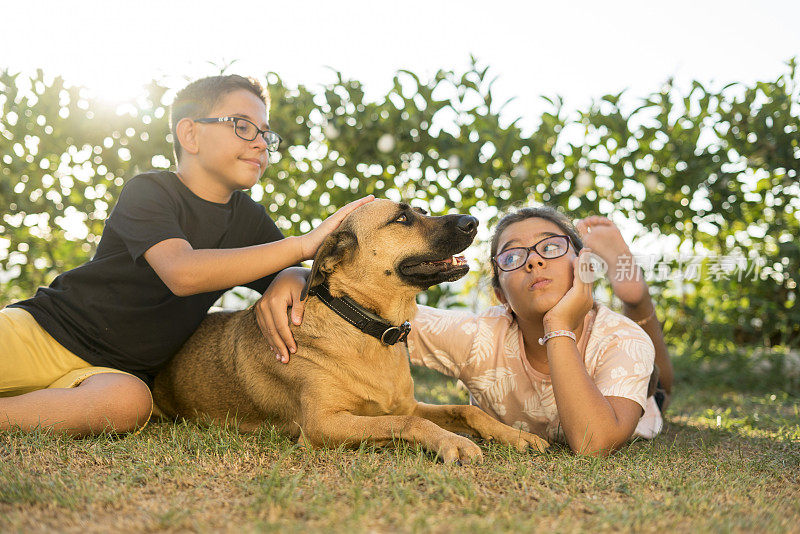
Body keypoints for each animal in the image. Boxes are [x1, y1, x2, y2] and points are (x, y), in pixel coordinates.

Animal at [152, 201, 548, 464]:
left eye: (421, 209)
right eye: (402, 218)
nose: (474, 221)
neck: (368, 328)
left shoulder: (407, 402)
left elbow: (465, 411)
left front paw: (517, 435)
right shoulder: (322, 424)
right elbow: (407, 421)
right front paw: (451, 442)